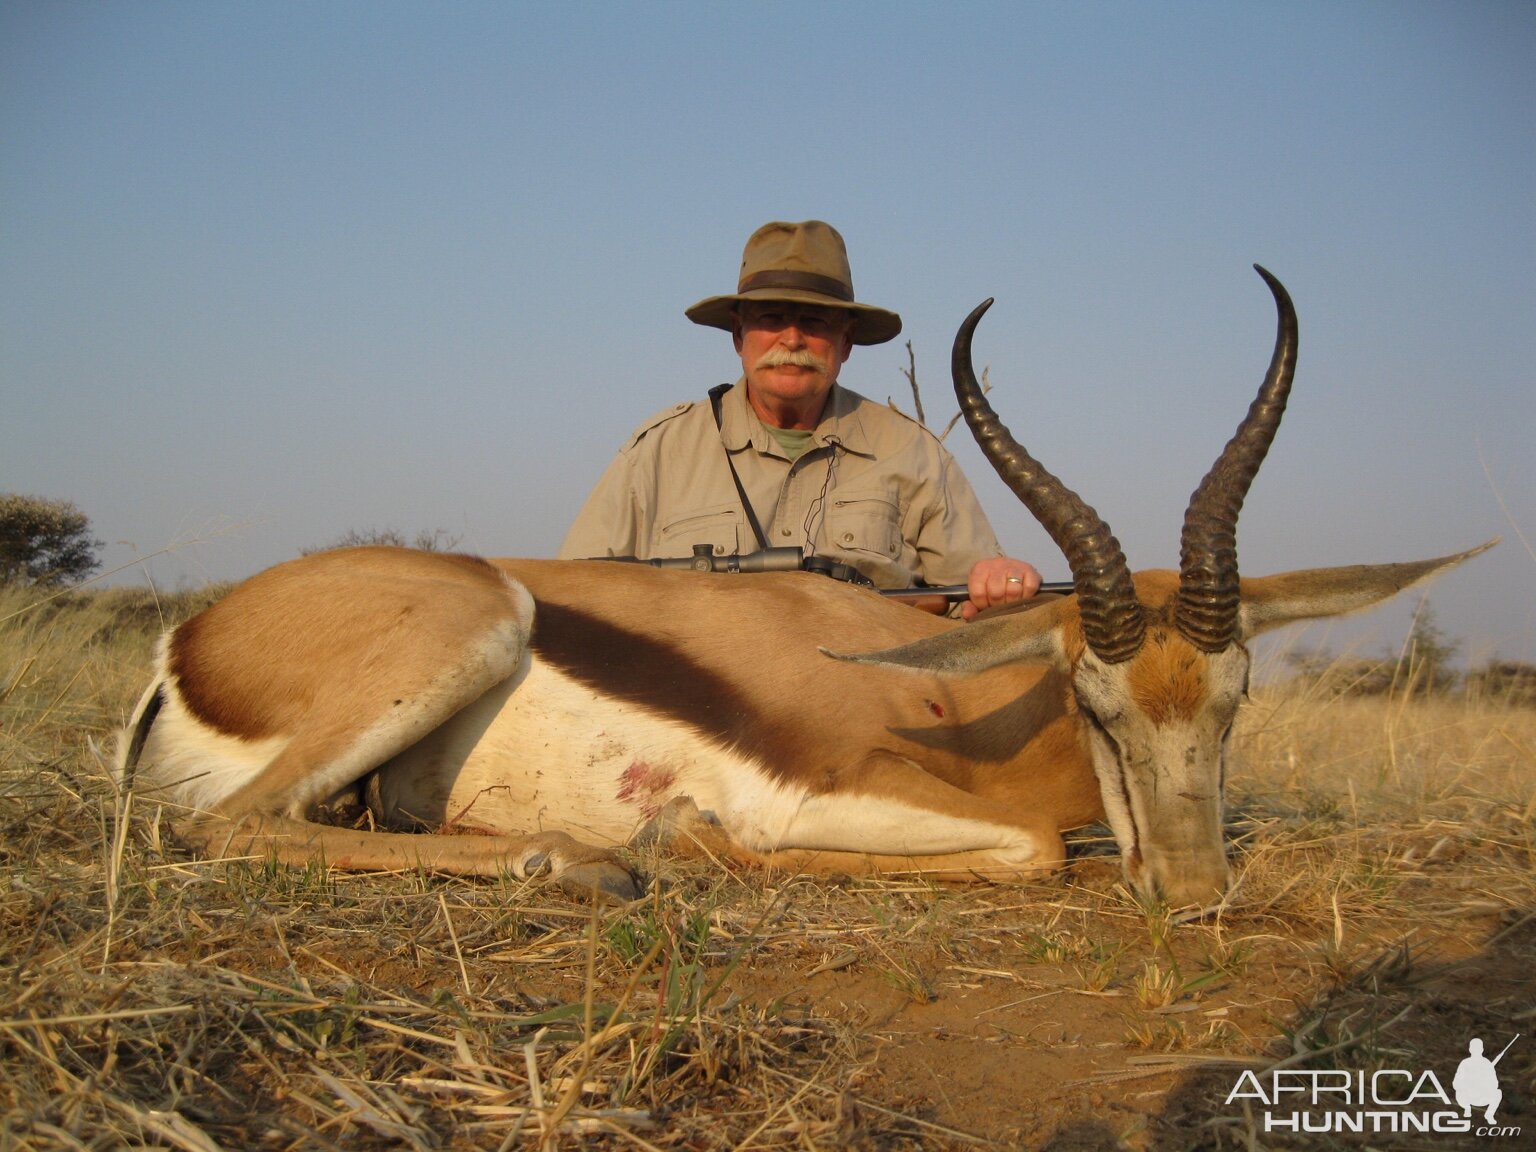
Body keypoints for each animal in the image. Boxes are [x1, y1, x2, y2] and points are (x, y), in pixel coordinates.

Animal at [116, 270, 1486, 909]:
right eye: (1095, 701)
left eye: (1236, 697)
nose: (1197, 892)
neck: (958, 711)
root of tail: (191, 646)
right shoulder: (827, 795)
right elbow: (1037, 849)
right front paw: (689, 838)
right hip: (473, 627)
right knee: (218, 827)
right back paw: (586, 861)